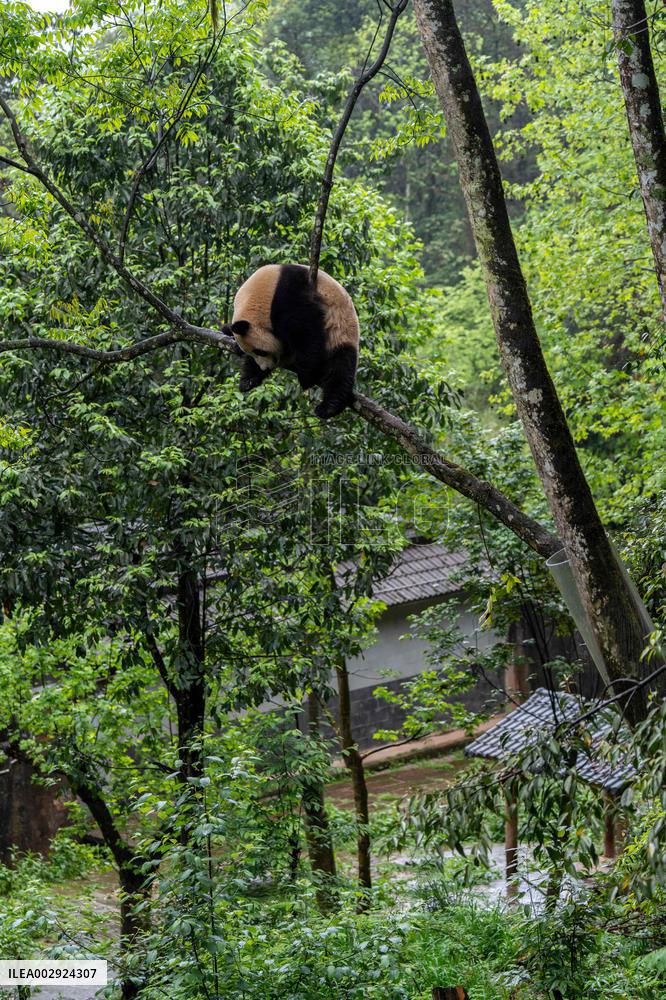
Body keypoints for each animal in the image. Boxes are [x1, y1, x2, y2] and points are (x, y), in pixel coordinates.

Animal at [225, 263, 359, 419]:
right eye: (253, 353)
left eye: (260, 351)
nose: (265, 368)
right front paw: (248, 379)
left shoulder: (289, 294)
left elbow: (306, 329)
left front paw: (307, 376)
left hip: (342, 331)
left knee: (340, 367)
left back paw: (329, 407)